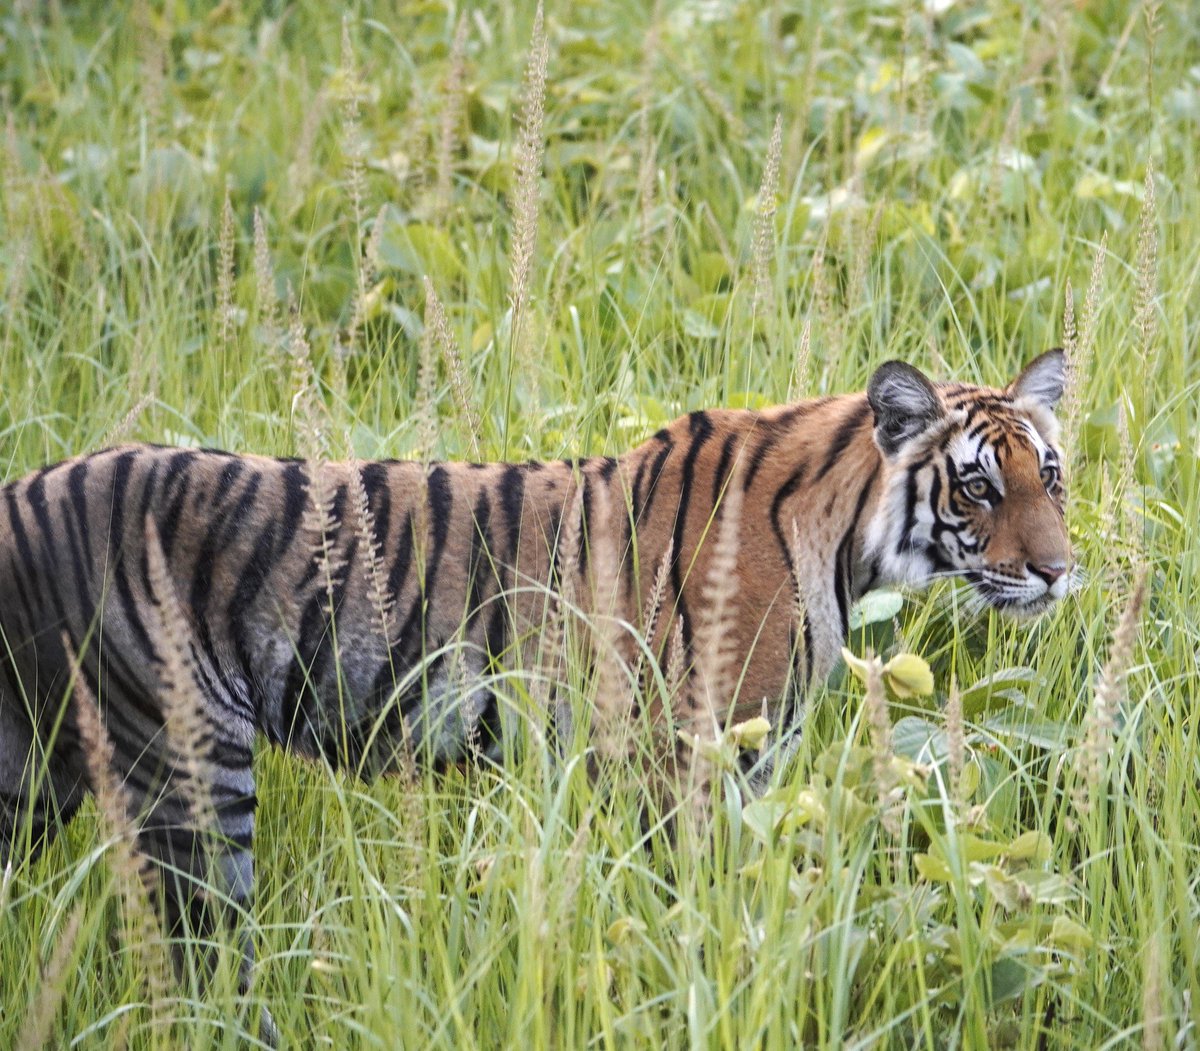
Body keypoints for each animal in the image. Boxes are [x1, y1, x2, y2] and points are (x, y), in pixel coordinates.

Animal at [0, 349, 1071, 1023]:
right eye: (979, 485)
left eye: (1051, 475)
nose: (1061, 572)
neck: (847, 538)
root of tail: (26, 492)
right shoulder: (694, 758)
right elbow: (692, 916)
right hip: (187, 762)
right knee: (201, 963)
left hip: (39, 768)